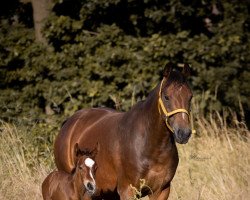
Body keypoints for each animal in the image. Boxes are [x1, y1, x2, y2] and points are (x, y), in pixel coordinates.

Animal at [53, 63, 192, 199]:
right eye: (166, 97)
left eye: (190, 97)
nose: (184, 133)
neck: (150, 145)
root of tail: (69, 123)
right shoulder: (128, 191)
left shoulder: (161, 191)